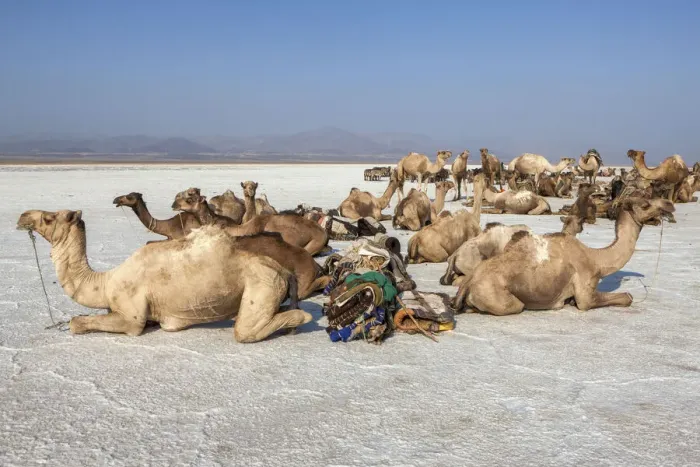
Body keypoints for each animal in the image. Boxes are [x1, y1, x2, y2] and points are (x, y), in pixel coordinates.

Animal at [16, 210, 312, 341]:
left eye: (49, 218)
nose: (22, 217)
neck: (105, 282)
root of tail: (283, 270)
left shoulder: (132, 315)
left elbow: (77, 323)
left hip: (262, 286)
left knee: (245, 330)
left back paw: (300, 320)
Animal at [451, 197, 675, 316]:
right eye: (645, 204)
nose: (669, 204)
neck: (597, 260)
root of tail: (469, 282)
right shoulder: (585, 293)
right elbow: (627, 297)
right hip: (503, 299)